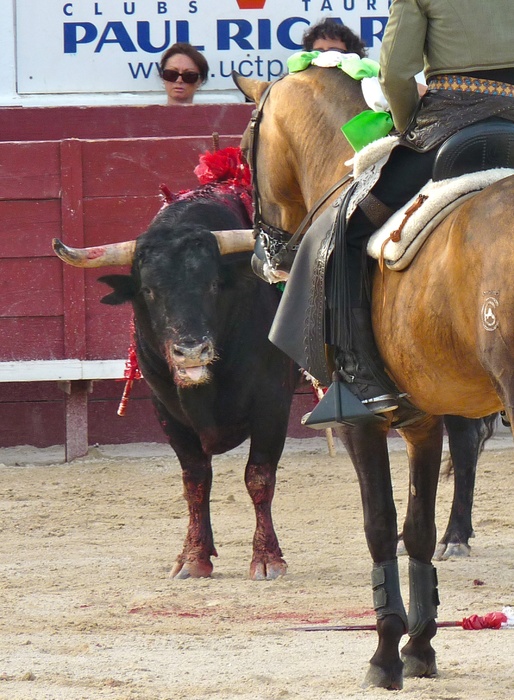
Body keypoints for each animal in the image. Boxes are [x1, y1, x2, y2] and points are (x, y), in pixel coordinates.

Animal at [53, 183, 297, 580]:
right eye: (149, 290)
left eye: (213, 284)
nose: (192, 350)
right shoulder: (167, 411)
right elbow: (195, 481)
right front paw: (194, 557)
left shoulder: (272, 403)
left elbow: (259, 477)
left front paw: (266, 559)